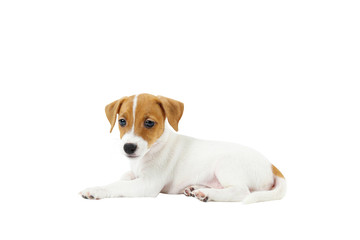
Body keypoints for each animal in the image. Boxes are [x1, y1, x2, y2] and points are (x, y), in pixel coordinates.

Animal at [79, 93, 286, 202]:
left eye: (149, 123)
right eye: (122, 121)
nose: (129, 147)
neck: (153, 149)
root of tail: (271, 165)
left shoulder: (148, 184)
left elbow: (118, 184)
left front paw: (96, 189)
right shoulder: (135, 173)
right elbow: (124, 177)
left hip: (227, 165)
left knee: (240, 191)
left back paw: (206, 193)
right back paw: (193, 188)